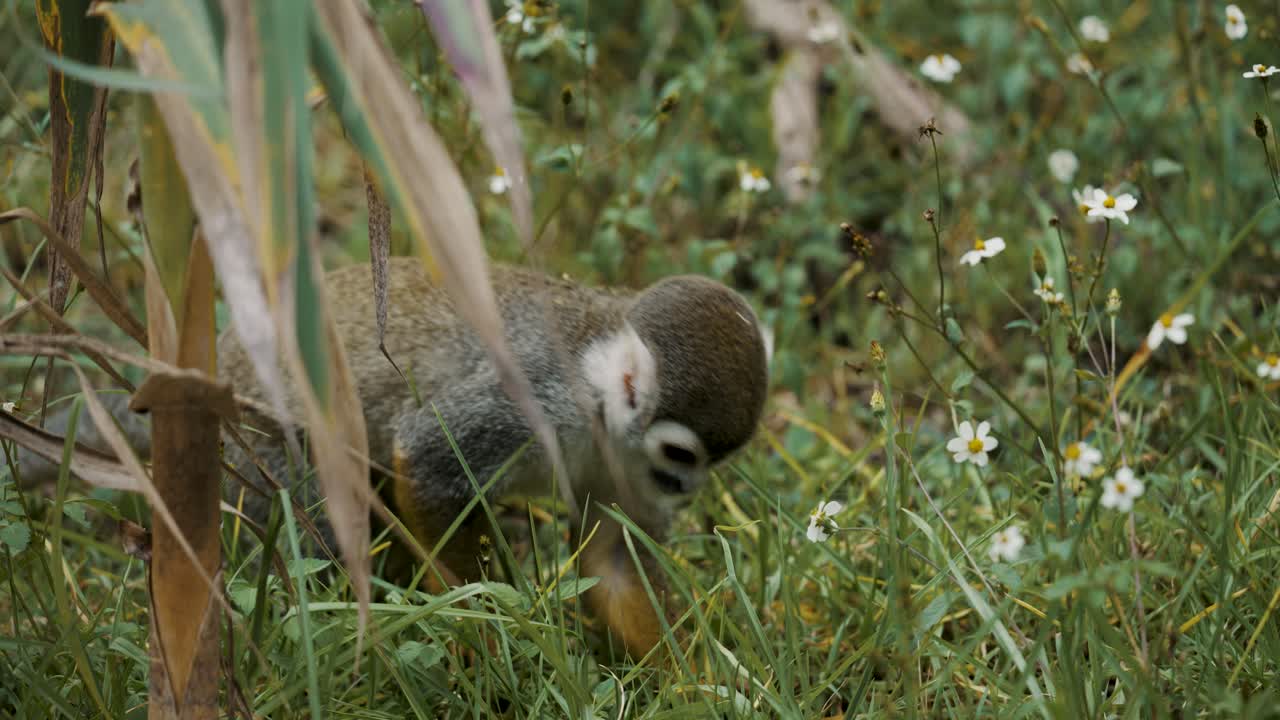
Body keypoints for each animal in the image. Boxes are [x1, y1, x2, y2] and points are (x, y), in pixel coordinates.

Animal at [12, 257, 771, 657]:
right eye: (680, 454)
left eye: (708, 461)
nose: (685, 488)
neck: (596, 405)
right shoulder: (534, 397)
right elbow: (431, 459)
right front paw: (490, 634)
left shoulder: (621, 465)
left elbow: (616, 559)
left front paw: (693, 682)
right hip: (258, 444)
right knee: (317, 519)